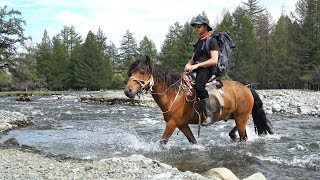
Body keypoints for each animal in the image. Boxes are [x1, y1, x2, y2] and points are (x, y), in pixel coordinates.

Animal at [124, 56, 274, 145]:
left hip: (241, 117)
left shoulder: (172, 123)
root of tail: (247, 88)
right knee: (237, 131)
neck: (172, 94)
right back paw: (232, 135)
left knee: (243, 137)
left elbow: (162, 142)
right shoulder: (182, 125)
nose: (128, 91)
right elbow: (193, 141)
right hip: (238, 116)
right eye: (131, 72)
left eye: (142, 72)